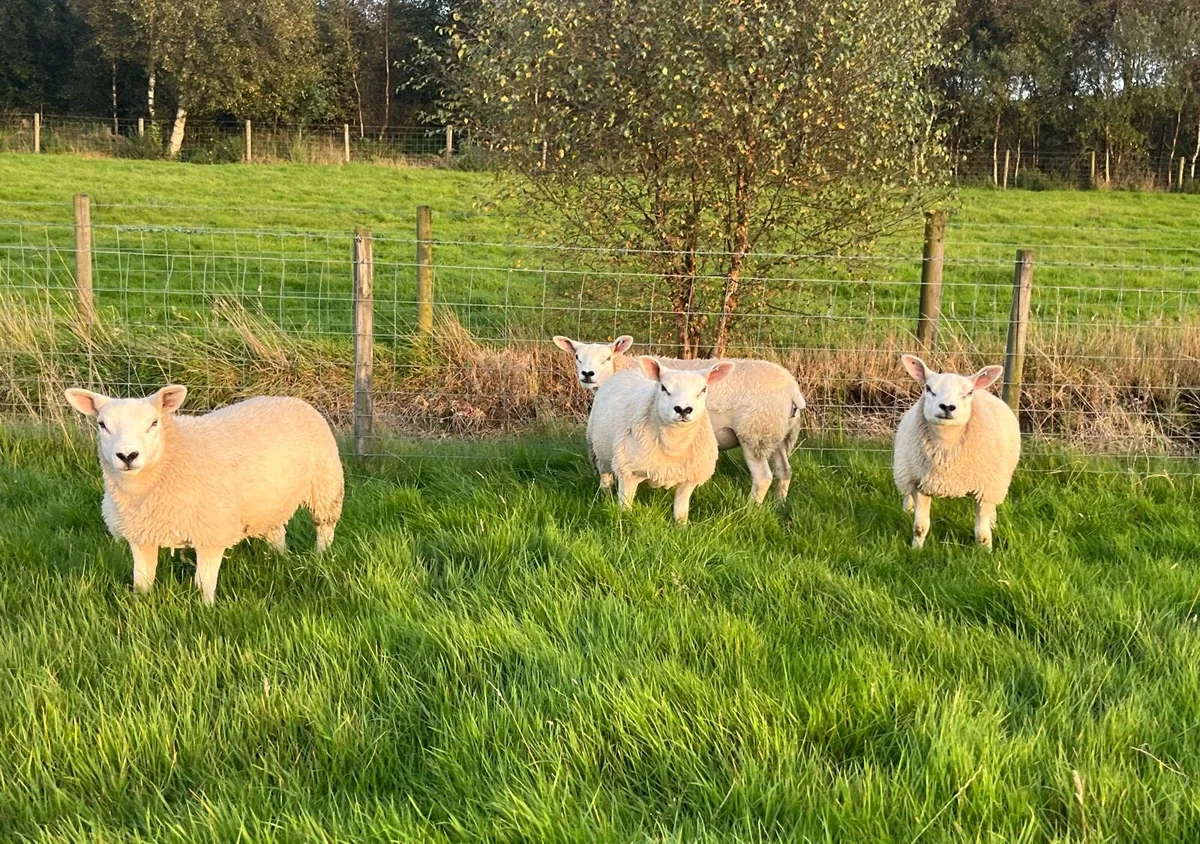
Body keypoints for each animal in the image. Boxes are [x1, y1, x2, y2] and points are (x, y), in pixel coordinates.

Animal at [64, 385, 344, 604]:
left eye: (154, 423)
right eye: (102, 425)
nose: (127, 456)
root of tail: (288, 398)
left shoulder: (210, 533)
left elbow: (203, 583)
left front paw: (206, 609)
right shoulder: (141, 534)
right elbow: (142, 580)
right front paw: (139, 604)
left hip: (326, 484)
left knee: (324, 526)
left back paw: (321, 557)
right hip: (269, 500)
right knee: (276, 530)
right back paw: (279, 558)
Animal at [553, 334, 806, 502]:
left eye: (606, 358)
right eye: (577, 357)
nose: (587, 374)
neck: (620, 369)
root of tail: (793, 388)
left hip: (755, 432)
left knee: (763, 477)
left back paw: (751, 508)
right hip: (777, 435)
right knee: (784, 471)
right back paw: (779, 504)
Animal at [586, 357, 735, 523]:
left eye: (703, 389)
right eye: (664, 388)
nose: (683, 409)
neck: (673, 445)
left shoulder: (689, 479)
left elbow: (680, 512)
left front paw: (681, 526)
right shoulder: (628, 471)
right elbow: (625, 507)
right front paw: (623, 522)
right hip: (598, 449)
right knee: (605, 476)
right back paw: (604, 495)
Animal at [892, 355, 1021, 551]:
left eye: (969, 393)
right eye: (928, 388)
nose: (947, 407)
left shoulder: (986, 488)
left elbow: (982, 533)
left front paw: (986, 552)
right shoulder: (919, 484)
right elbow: (920, 526)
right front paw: (916, 549)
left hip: (997, 482)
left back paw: (992, 522)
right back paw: (907, 510)